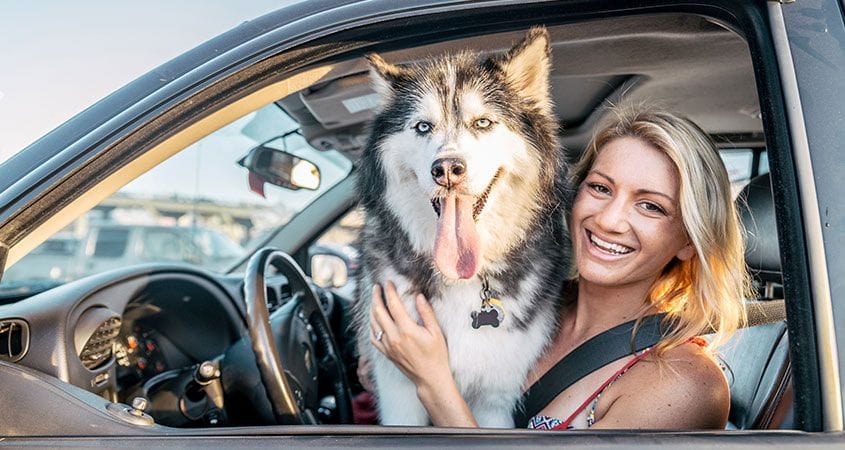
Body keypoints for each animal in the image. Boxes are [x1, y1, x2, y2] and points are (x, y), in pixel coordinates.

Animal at [352, 29, 572, 428]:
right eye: (423, 126)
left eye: (483, 123)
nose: (448, 169)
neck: (464, 280)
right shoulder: (399, 396)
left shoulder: (495, 401)